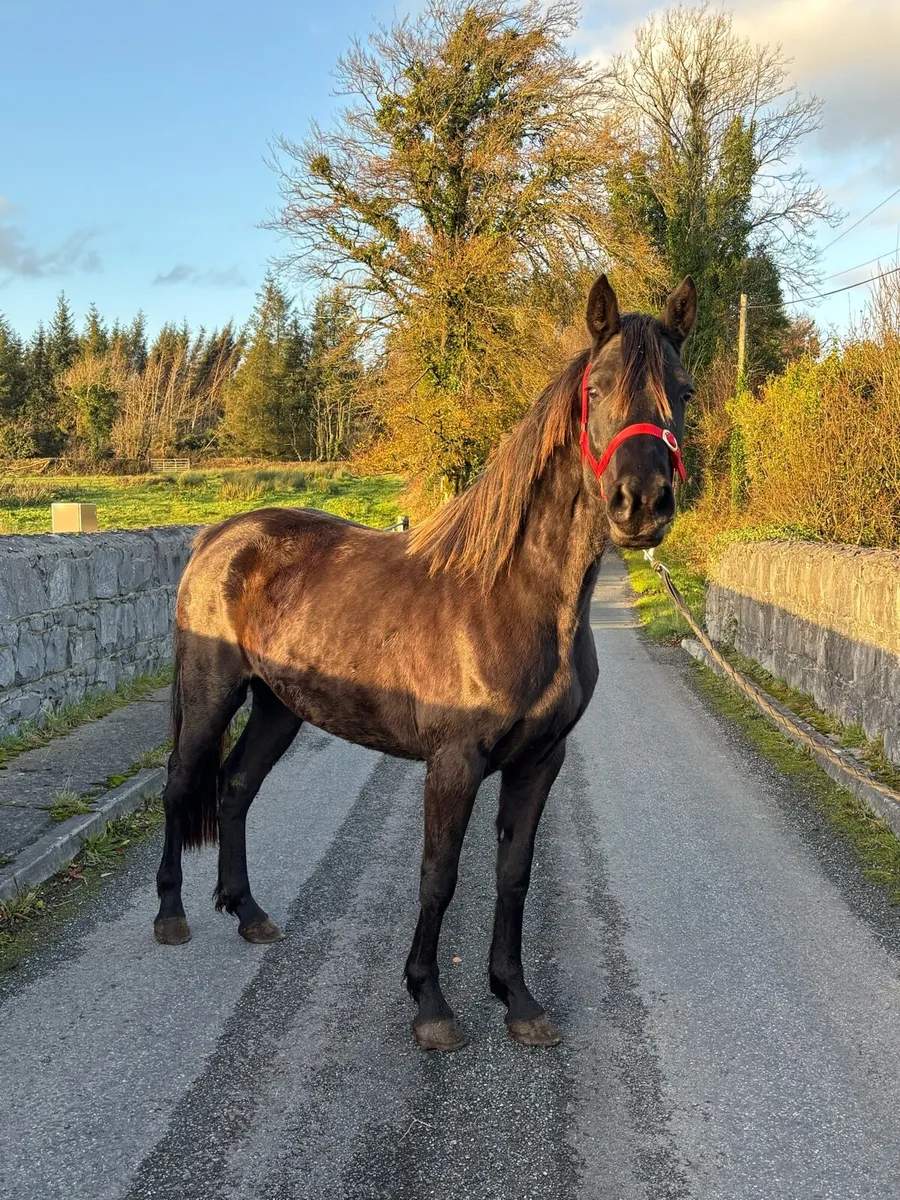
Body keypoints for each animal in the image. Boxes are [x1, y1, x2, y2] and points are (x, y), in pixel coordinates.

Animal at [153, 273, 697, 1052]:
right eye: (597, 389)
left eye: (683, 391)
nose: (642, 501)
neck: (510, 597)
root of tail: (218, 536)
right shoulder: (454, 761)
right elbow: (439, 876)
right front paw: (431, 1005)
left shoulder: (541, 762)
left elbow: (514, 875)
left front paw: (518, 999)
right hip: (210, 693)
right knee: (179, 785)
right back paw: (171, 916)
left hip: (279, 706)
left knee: (234, 787)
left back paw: (249, 912)